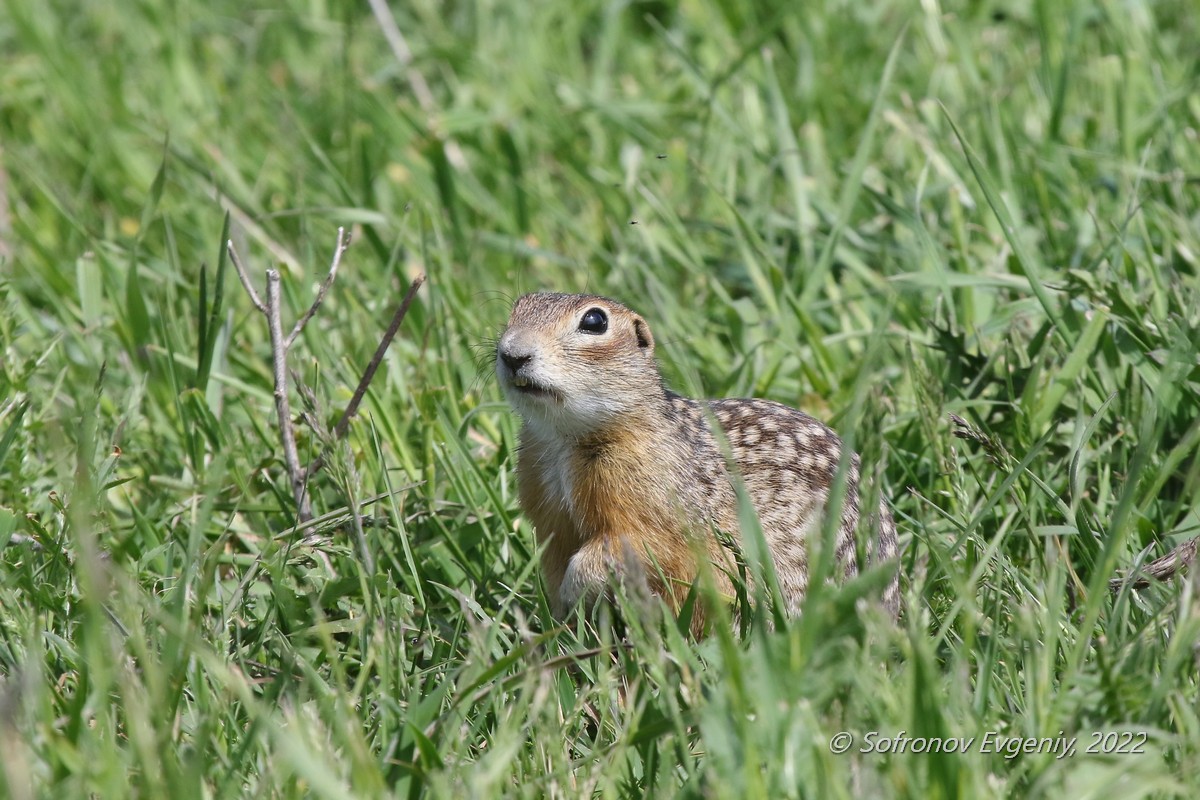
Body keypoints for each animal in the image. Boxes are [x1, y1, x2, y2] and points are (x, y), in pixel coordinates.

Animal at [496, 291, 902, 628]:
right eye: (517, 307)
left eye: (594, 322)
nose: (511, 354)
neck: (563, 439)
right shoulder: (548, 513)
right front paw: (562, 622)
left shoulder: (652, 501)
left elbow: (631, 546)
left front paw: (574, 593)